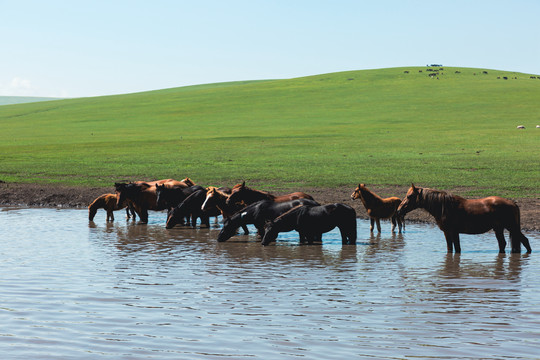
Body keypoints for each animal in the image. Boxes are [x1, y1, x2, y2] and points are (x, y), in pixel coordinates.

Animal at [396, 184, 532, 255]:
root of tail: (512, 203)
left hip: (511, 227)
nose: (398, 210)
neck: (445, 207)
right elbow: (451, 248)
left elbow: (456, 248)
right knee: (502, 244)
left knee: (524, 241)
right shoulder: (449, 233)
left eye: (409, 196)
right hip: (498, 229)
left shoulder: (453, 232)